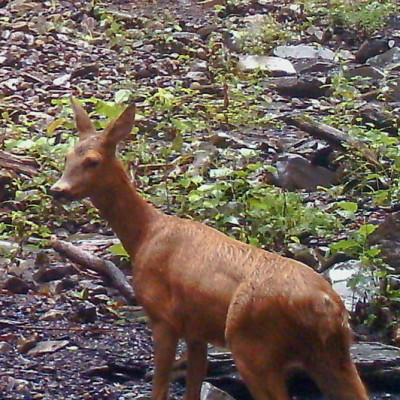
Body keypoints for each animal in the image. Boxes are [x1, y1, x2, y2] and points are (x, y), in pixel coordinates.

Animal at [50, 97, 368, 400]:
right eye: (67, 156)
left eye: (92, 161)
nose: (58, 190)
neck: (145, 236)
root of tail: (326, 305)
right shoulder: (196, 330)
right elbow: (192, 389)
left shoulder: (163, 318)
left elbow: (160, 390)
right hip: (331, 355)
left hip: (252, 344)